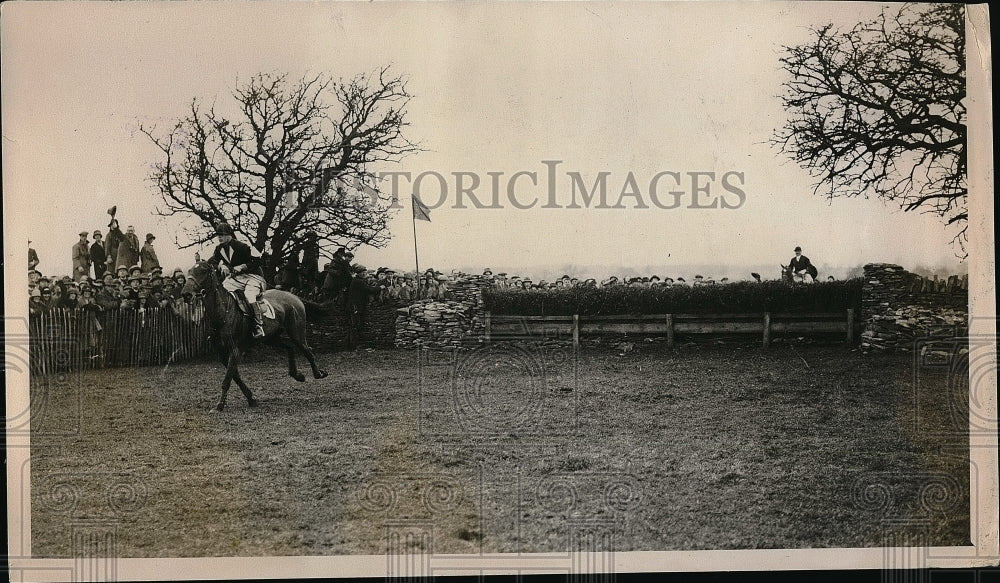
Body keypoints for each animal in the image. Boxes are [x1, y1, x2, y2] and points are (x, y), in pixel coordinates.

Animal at [180, 262, 332, 412]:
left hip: (296, 333)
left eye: (203, 272)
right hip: (271, 338)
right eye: (190, 271)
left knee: (308, 351)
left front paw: (220, 405)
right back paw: (297, 375)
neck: (224, 313)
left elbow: (227, 379)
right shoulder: (222, 353)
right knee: (290, 348)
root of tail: (293, 296)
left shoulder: (235, 350)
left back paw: (318, 374)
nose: (186, 294)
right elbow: (235, 376)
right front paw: (251, 398)